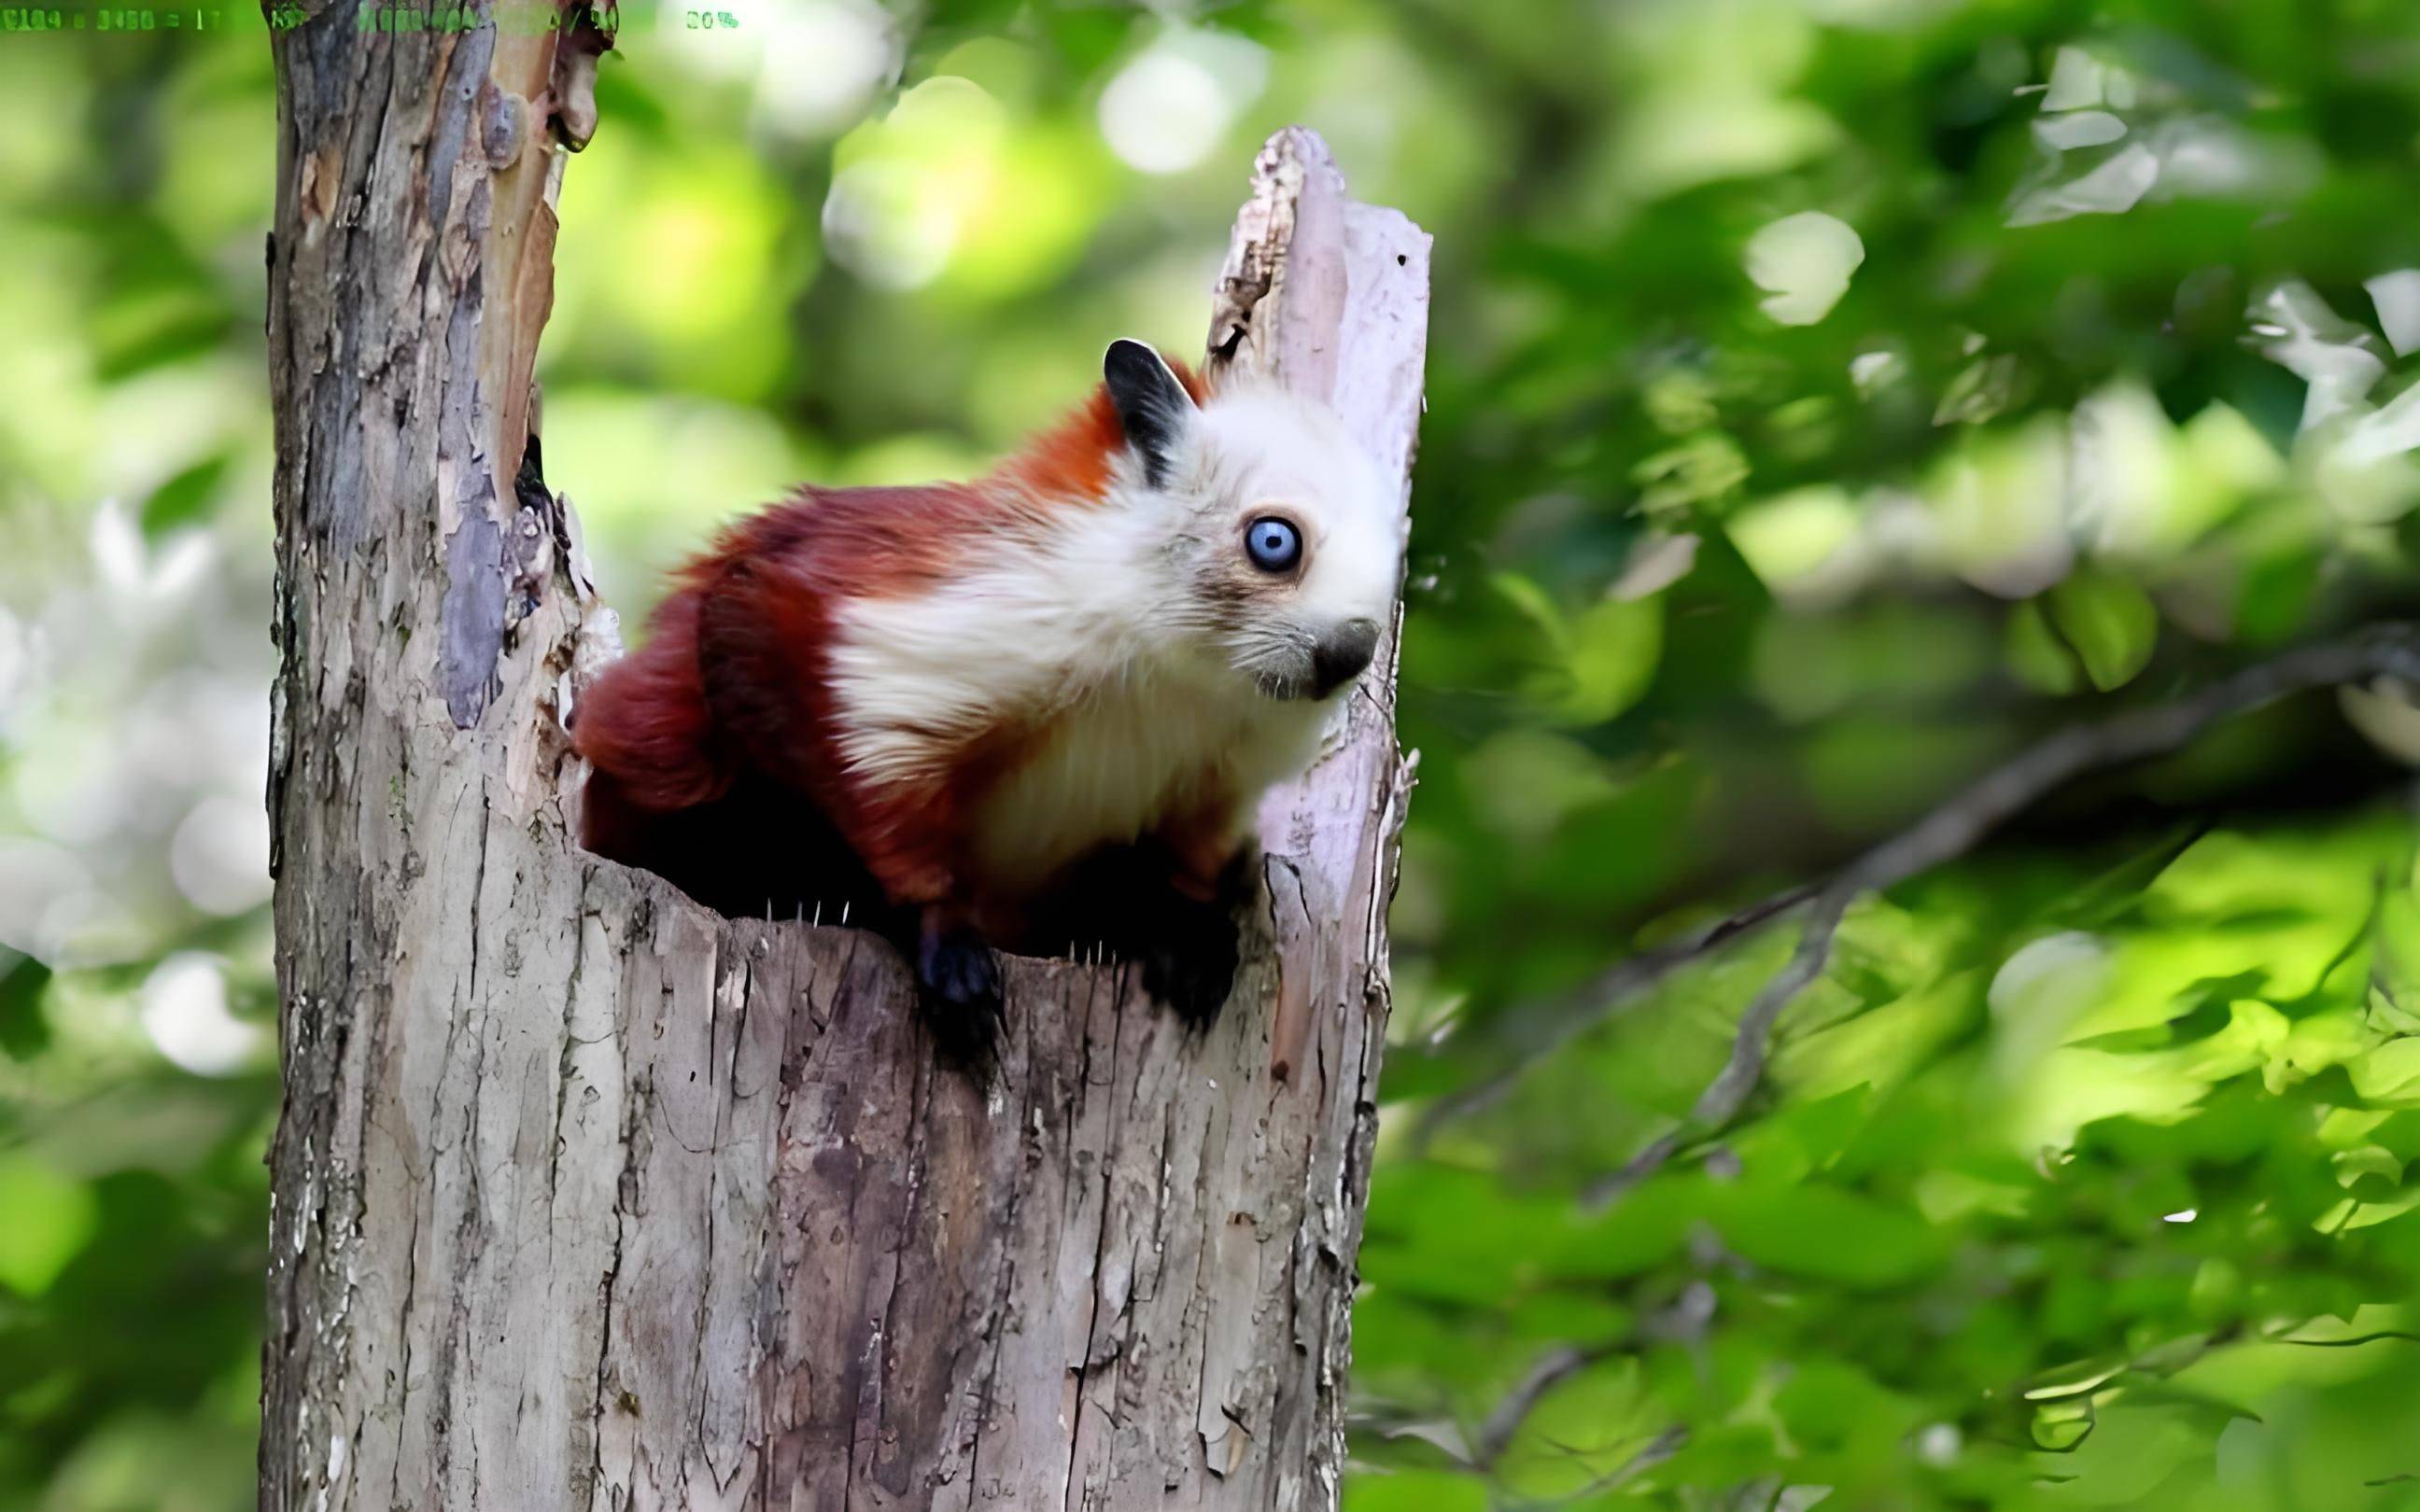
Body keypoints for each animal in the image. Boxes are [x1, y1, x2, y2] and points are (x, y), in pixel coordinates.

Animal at [570, 336, 1403, 1055]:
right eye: (1274, 543)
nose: (1348, 656)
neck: (1183, 673)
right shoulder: (871, 636)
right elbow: (845, 746)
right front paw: (939, 931)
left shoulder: (1219, 778)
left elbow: (1189, 860)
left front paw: (1180, 926)